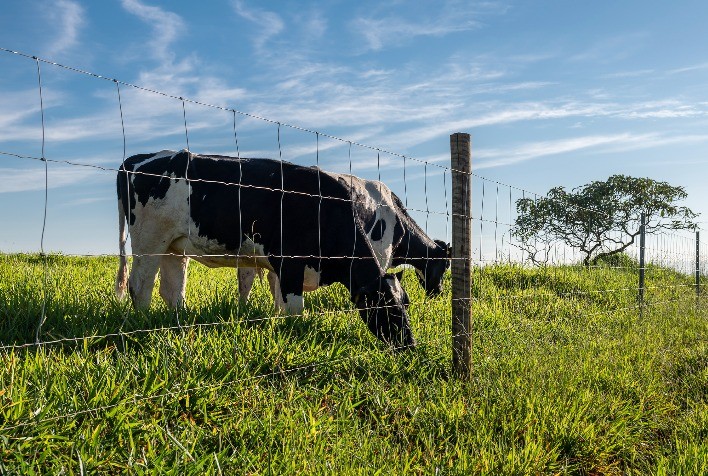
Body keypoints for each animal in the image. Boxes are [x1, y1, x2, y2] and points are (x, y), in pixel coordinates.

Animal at [115, 150, 415, 349]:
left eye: (406, 302)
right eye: (385, 305)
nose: (409, 345)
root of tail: (136, 159)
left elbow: (279, 303)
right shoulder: (289, 264)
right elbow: (294, 309)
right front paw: (296, 333)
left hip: (173, 246)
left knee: (172, 289)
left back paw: (180, 323)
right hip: (149, 240)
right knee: (140, 285)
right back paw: (143, 323)